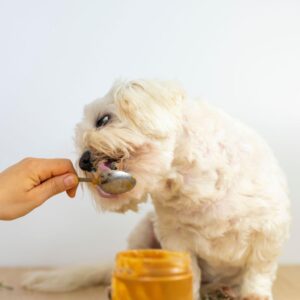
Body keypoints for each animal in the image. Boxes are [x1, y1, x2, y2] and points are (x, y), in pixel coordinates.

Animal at [23, 79, 290, 300]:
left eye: (103, 120)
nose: (84, 161)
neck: (194, 187)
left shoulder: (269, 231)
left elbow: (259, 270)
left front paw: (254, 295)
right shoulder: (176, 237)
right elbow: (190, 272)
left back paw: (221, 291)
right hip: (142, 233)